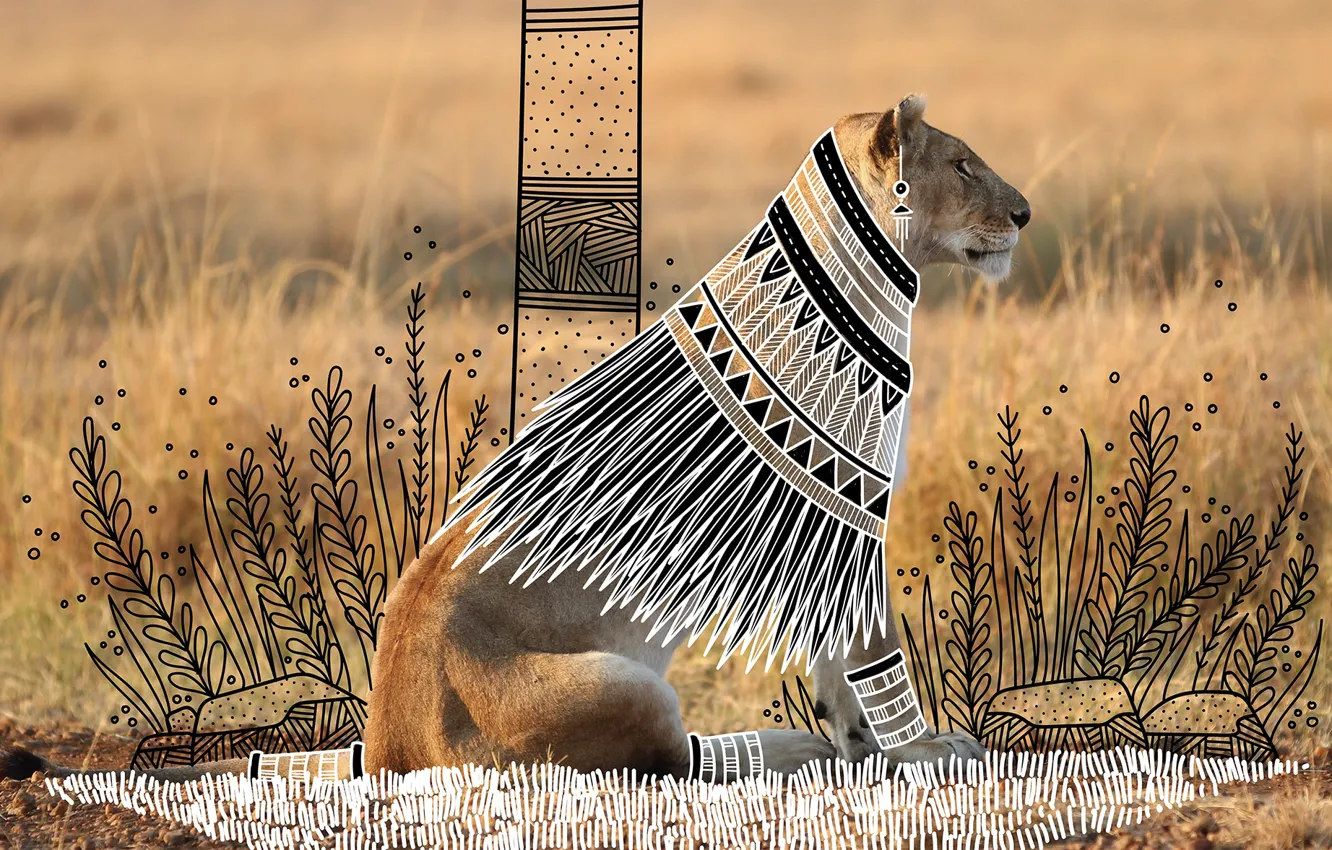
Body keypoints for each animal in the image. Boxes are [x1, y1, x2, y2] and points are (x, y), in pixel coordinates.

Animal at [3, 94, 1030, 785]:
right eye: (963, 164)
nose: (1022, 215)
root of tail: (385, 745)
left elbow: (835, 664)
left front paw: (876, 746)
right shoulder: (840, 511)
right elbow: (868, 649)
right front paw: (925, 748)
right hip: (624, 684)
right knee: (665, 765)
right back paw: (788, 751)